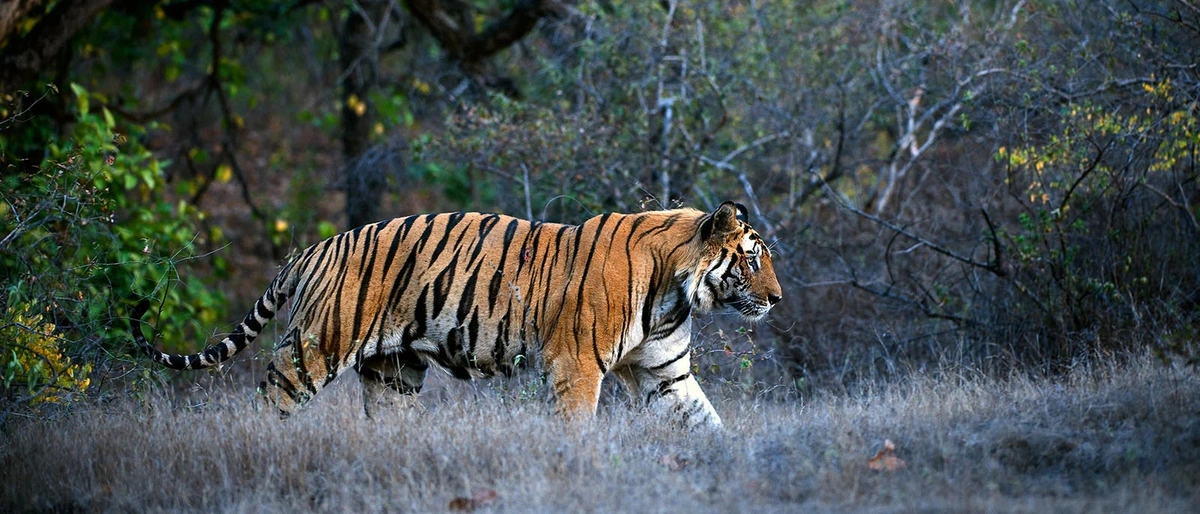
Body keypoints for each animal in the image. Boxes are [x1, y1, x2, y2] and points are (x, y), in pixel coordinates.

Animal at [131, 200, 782, 429]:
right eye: (752, 259)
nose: (777, 298)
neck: (675, 292)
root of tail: (315, 247)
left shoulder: (665, 374)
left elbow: (708, 425)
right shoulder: (575, 366)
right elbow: (577, 431)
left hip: (394, 373)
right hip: (315, 349)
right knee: (269, 403)